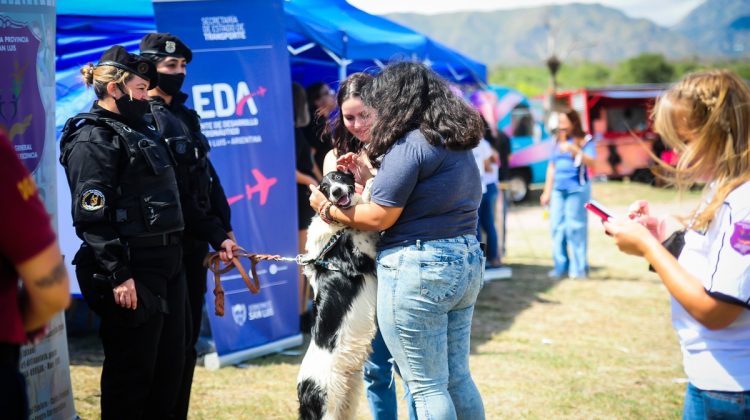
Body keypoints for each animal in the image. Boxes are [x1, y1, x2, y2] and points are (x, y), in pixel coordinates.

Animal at [298, 171, 378, 420]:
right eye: (324, 188)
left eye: (338, 177)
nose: (336, 192)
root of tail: (304, 389)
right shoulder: (363, 255)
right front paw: (369, 186)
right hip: (330, 406)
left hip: (348, 397)